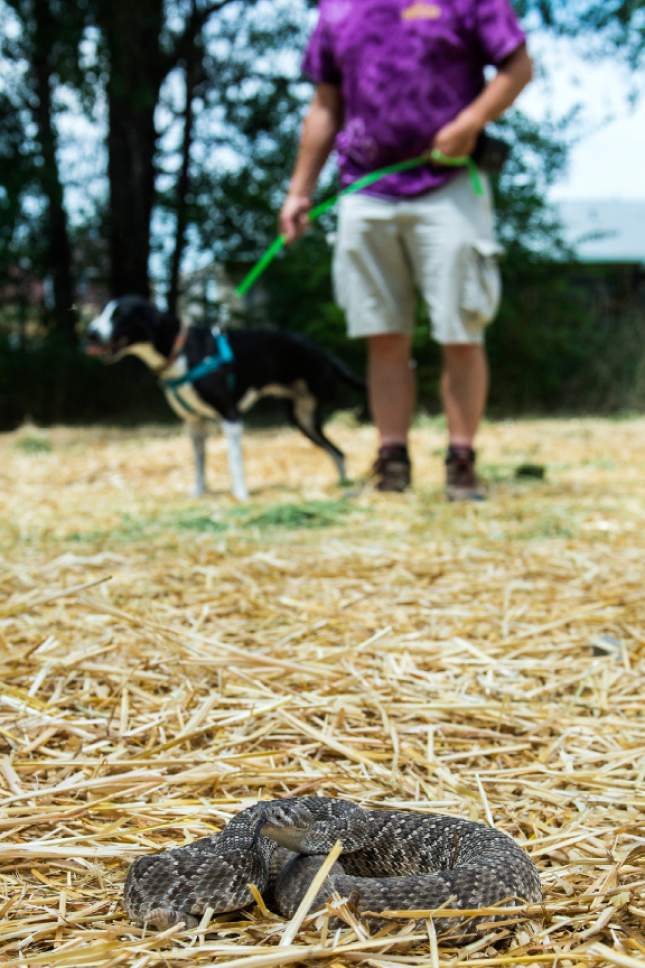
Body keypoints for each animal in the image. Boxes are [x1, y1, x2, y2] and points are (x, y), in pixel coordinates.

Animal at [87, 294, 362, 500]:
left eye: (120, 316)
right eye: (101, 312)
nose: (90, 332)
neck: (182, 350)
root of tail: (324, 353)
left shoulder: (231, 417)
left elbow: (234, 462)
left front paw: (240, 495)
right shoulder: (195, 424)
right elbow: (200, 464)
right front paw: (198, 493)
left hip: (308, 412)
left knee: (339, 451)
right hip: (303, 420)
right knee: (338, 453)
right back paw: (343, 485)